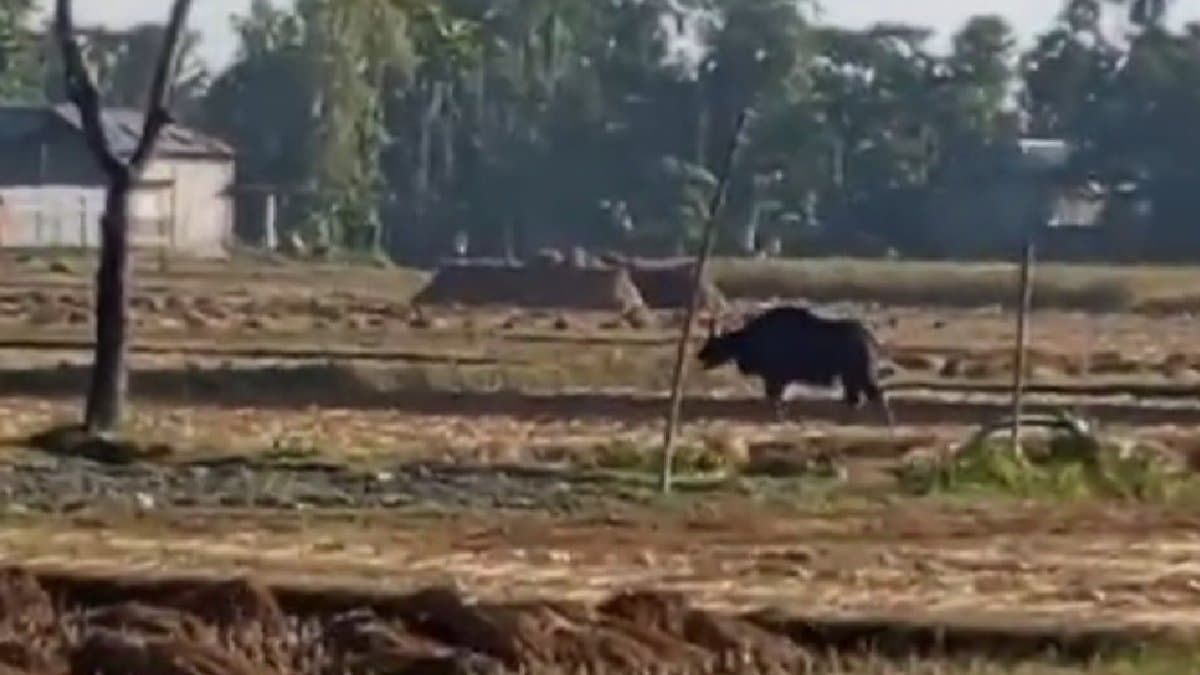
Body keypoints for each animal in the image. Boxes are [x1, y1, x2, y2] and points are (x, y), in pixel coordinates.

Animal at [696, 305, 894, 427]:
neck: (751, 340)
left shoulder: (774, 378)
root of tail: (870, 339)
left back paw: (887, 423)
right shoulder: (777, 380)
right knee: (856, 400)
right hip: (850, 378)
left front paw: (779, 418)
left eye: (714, 344)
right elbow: (777, 399)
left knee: (874, 396)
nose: (699, 354)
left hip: (860, 374)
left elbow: (775, 399)